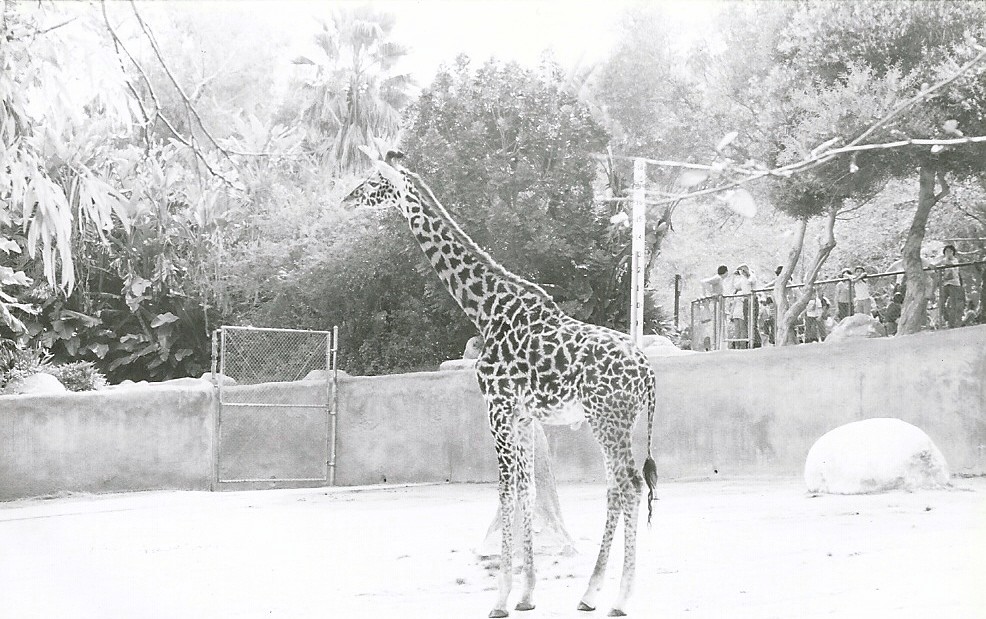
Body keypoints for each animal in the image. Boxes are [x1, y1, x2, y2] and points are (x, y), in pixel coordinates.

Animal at [344, 151, 659, 617]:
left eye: (371, 181)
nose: (346, 198)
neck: (486, 309)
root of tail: (648, 374)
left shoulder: (497, 406)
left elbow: (506, 490)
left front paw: (500, 599)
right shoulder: (524, 415)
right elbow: (528, 489)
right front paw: (527, 594)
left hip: (608, 419)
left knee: (630, 486)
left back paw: (618, 599)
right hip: (618, 422)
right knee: (616, 488)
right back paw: (589, 594)